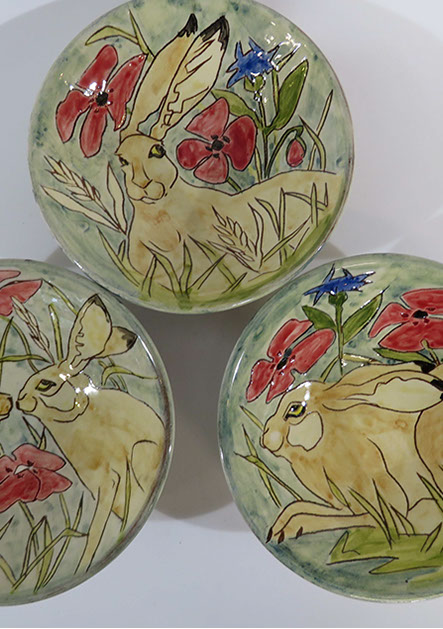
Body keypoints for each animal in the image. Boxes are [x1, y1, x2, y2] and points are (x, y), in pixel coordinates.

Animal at [16, 294, 166, 572]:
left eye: (46, 384)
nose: (20, 401)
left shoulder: (110, 482)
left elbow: (95, 533)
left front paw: (83, 564)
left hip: (141, 453)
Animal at [261, 362, 443, 543]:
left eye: (295, 409)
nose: (264, 438)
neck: (327, 439)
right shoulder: (345, 505)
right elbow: (301, 506)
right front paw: (277, 529)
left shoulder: (385, 503)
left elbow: (358, 519)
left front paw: (290, 529)